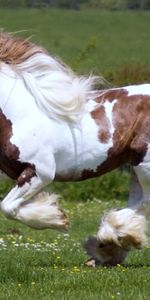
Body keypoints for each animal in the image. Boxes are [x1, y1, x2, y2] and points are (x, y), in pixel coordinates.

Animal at [0, 30, 149, 266]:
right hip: (134, 164)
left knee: (143, 201)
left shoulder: (40, 172)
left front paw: (57, 219)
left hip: (144, 163)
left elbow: (7, 207)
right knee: (138, 202)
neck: (21, 114)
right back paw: (108, 248)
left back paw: (107, 244)